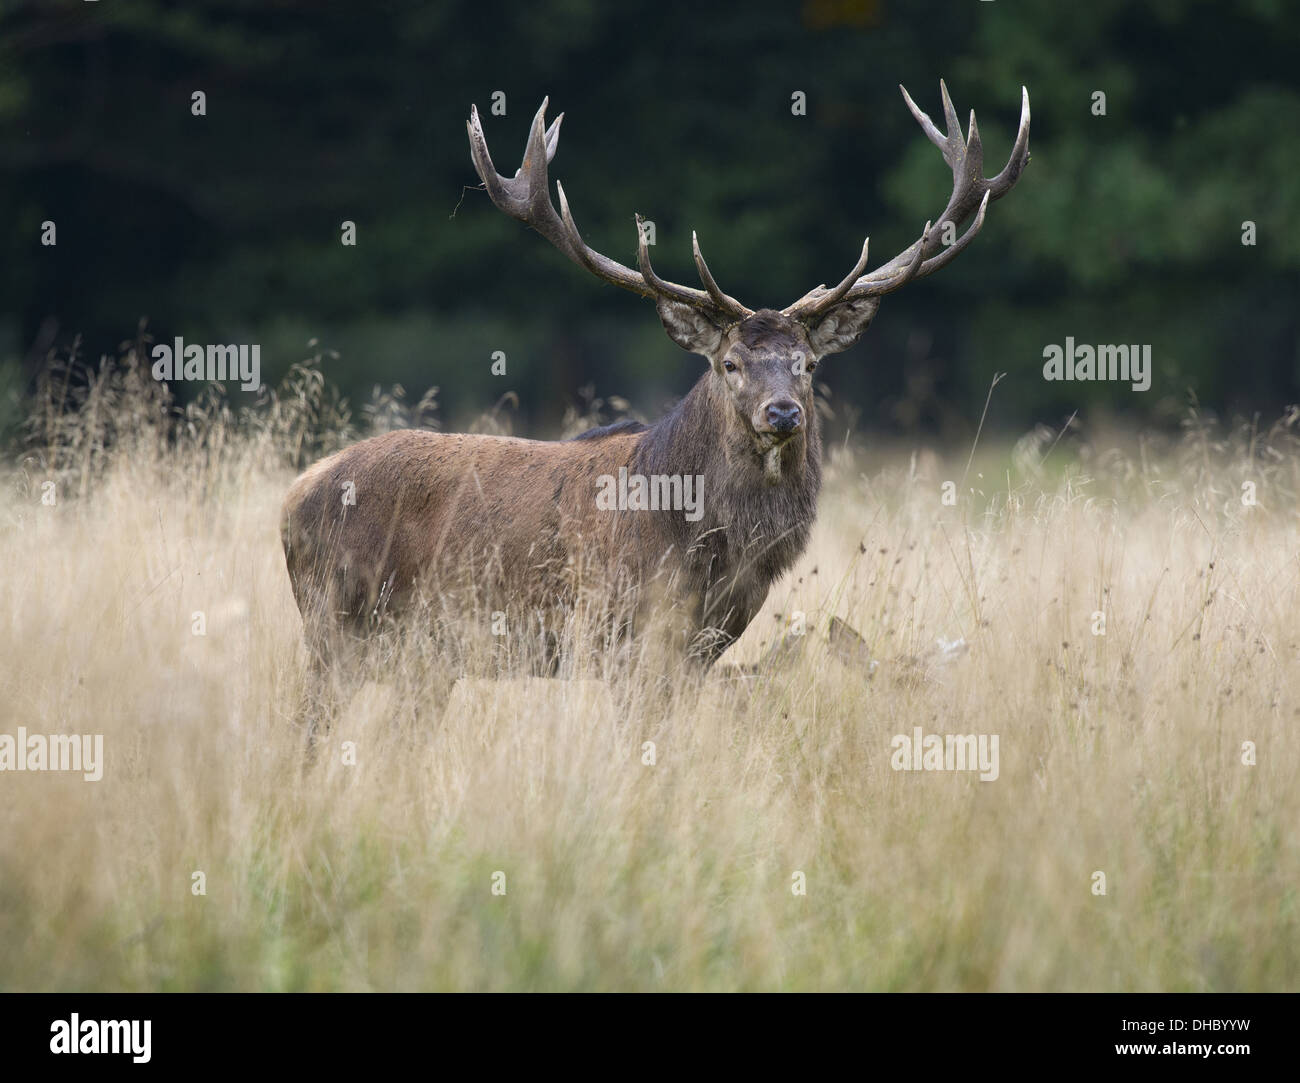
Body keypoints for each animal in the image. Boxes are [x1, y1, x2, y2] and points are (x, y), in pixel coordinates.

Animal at [280, 82, 1030, 670]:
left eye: (809, 364)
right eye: (729, 363)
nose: (782, 413)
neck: (705, 546)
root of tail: (294, 493)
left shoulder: (699, 649)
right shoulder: (613, 633)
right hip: (334, 623)